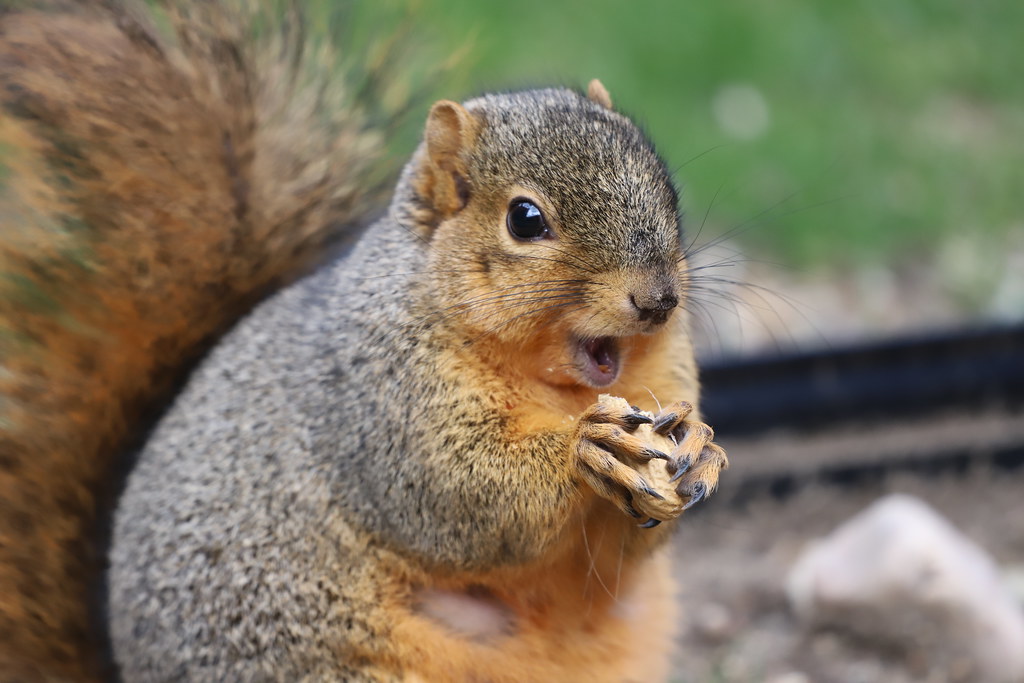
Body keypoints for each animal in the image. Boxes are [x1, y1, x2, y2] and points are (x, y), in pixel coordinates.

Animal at [6, 0, 729, 679]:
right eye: (525, 220)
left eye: (662, 180)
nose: (659, 300)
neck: (561, 386)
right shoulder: (378, 399)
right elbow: (458, 492)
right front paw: (586, 445)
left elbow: (624, 545)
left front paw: (698, 449)